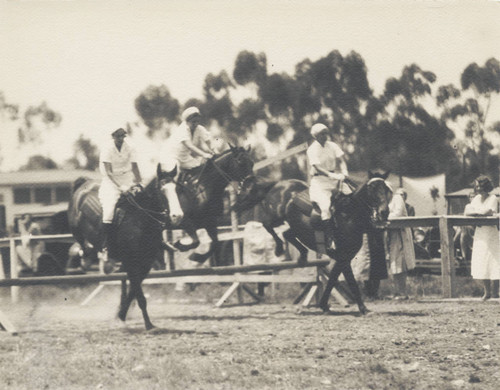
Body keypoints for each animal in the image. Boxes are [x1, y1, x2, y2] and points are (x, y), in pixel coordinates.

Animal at [235, 172, 394, 316]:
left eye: (387, 190)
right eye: (373, 190)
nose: (384, 212)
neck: (349, 215)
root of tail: (277, 184)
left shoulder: (343, 258)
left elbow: (332, 279)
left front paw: (324, 305)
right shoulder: (343, 258)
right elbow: (351, 282)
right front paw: (363, 309)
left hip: (295, 227)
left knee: (287, 234)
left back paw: (303, 256)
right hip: (277, 217)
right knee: (267, 225)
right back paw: (279, 248)